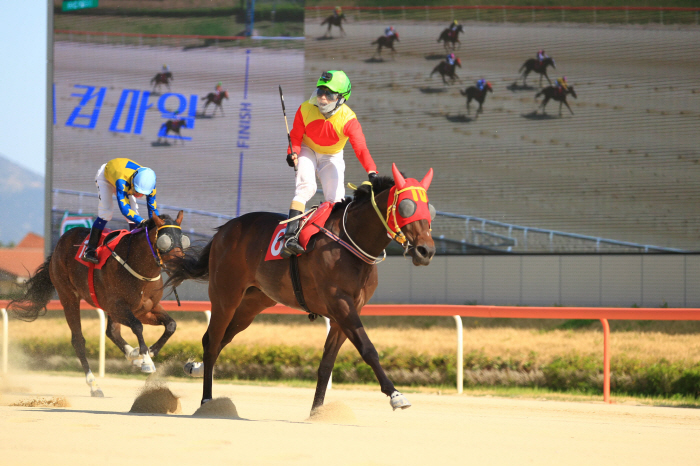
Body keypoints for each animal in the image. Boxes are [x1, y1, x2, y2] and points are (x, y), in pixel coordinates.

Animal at [8, 213, 189, 396]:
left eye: (183, 240)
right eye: (165, 240)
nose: (181, 266)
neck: (138, 267)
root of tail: (61, 242)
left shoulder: (146, 308)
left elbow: (171, 325)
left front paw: (149, 351)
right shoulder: (117, 307)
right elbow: (137, 327)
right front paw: (146, 359)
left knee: (112, 332)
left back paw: (132, 354)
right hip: (68, 296)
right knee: (78, 341)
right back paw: (94, 384)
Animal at [165, 165, 438, 416]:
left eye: (429, 210)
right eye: (406, 207)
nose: (426, 250)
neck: (351, 242)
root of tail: (224, 229)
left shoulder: (345, 313)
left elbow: (327, 363)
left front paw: (317, 411)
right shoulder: (341, 304)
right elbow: (367, 349)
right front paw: (395, 395)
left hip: (254, 302)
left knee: (222, 338)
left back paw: (197, 368)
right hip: (226, 295)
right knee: (212, 341)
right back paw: (207, 401)